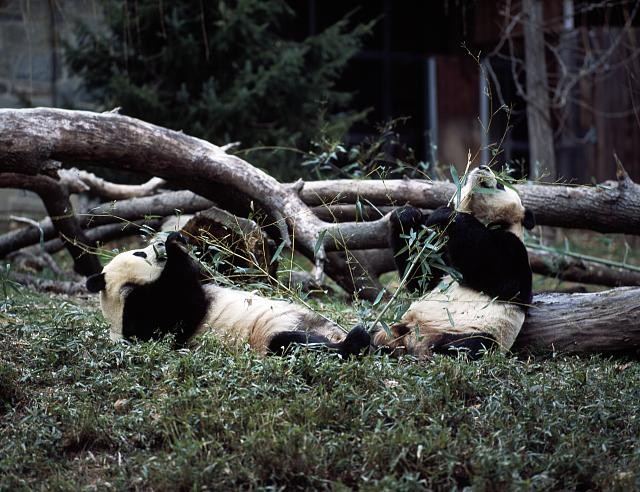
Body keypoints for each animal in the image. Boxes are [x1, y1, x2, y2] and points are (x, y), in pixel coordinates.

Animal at [86, 232, 370, 357]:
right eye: (139, 253)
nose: (155, 245)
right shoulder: (139, 315)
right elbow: (184, 307)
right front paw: (174, 245)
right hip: (272, 337)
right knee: (294, 344)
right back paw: (356, 341)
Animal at [374, 165, 535, 358]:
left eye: (501, 185)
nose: (483, 167)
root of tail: (412, 341)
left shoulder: (514, 249)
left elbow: (496, 272)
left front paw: (447, 214)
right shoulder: (442, 258)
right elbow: (422, 278)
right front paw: (406, 214)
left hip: (474, 331)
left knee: (470, 345)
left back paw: (438, 351)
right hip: (391, 329)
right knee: (365, 335)